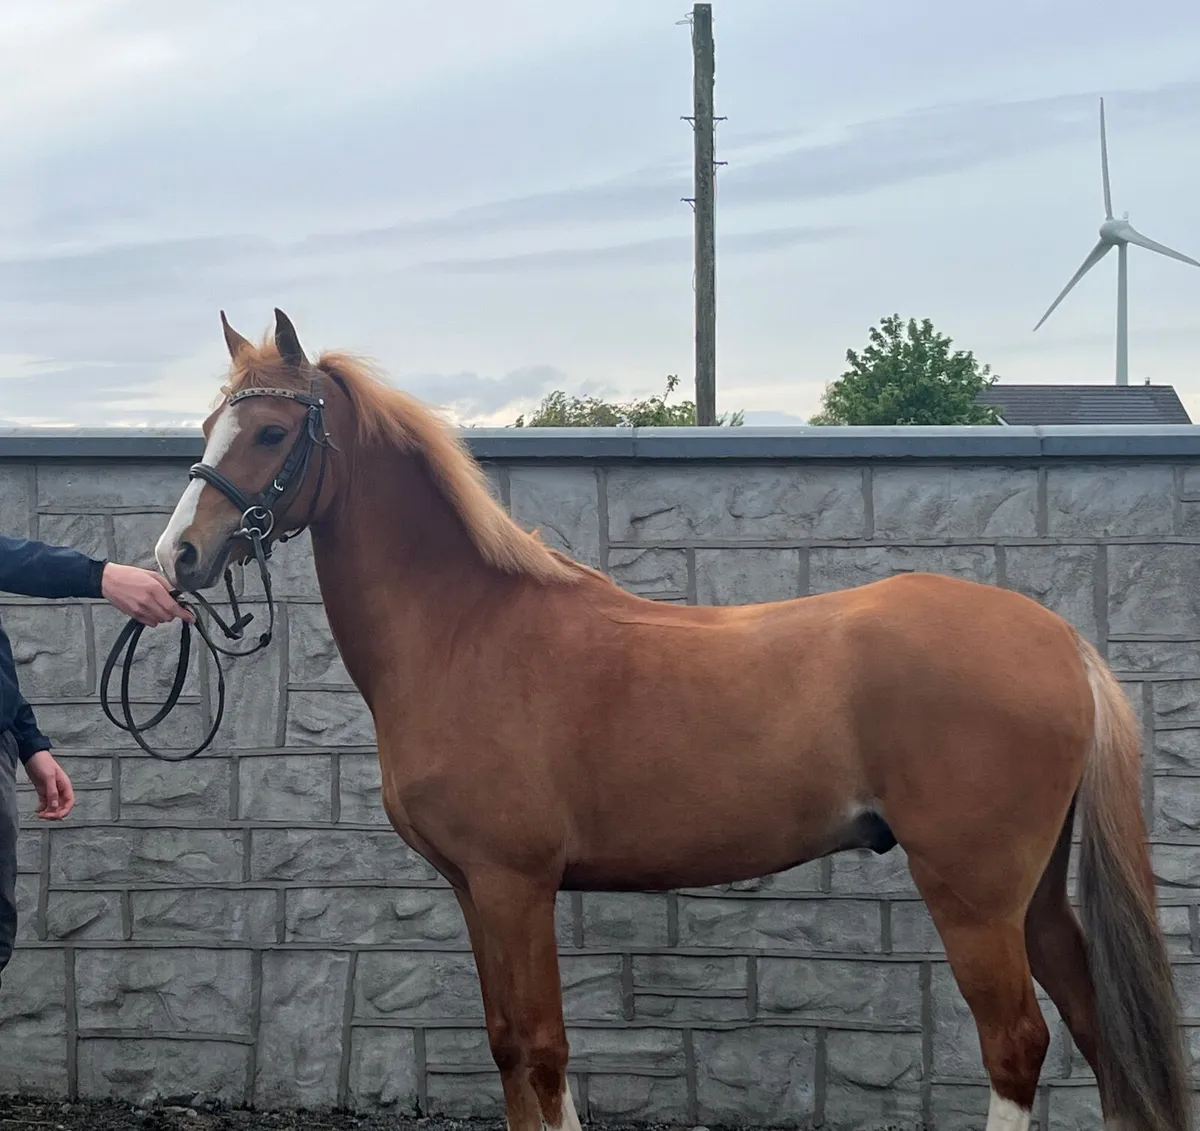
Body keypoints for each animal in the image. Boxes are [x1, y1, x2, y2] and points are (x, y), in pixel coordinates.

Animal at [153, 308, 1190, 1131]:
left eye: (271, 430)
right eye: (208, 423)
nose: (179, 557)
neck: (467, 630)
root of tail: (1060, 640)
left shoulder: (515, 885)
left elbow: (542, 1049)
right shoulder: (476, 892)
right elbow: (506, 1048)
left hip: (973, 893)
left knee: (1016, 1041)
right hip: (1034, 893)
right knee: (1096, 1025)